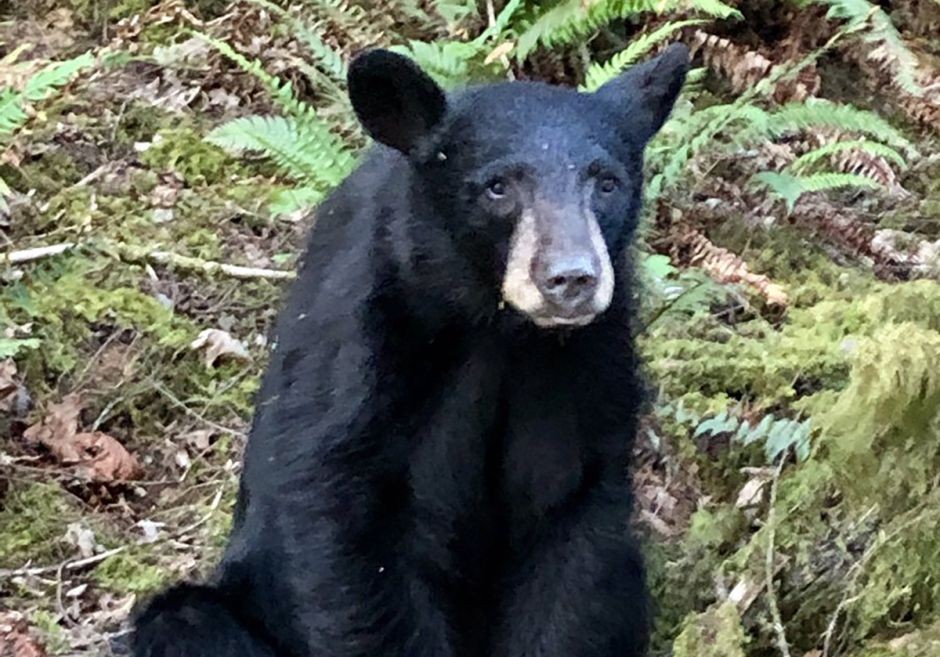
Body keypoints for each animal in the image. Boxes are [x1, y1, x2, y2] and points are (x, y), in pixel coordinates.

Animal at [130, 43, 689, 657]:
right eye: (498, 186)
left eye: (606, 182)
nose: (572, 278)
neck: (496, 329)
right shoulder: (365, 349)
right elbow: (345, 536)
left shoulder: (588, 367)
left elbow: (570, 532)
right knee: (186, 620)